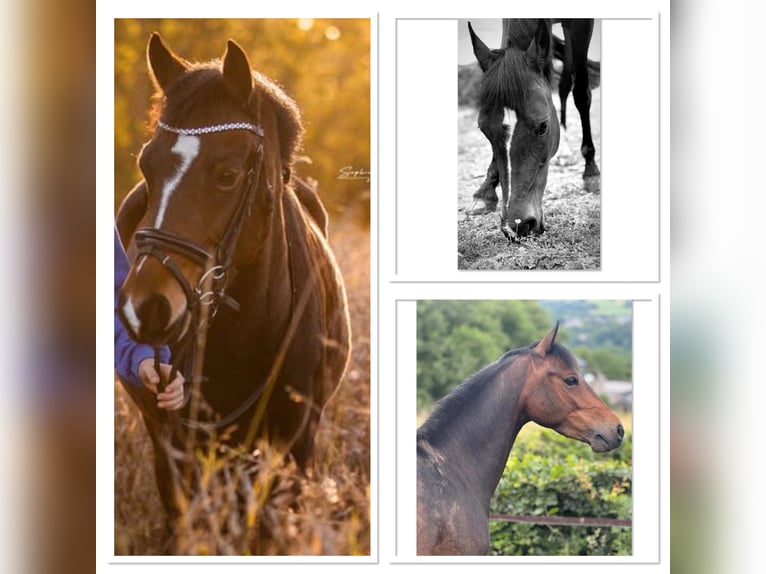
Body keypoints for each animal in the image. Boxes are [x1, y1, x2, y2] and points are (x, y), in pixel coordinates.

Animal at [468, 19, 599, 240]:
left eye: (543, 127)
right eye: (484, 130)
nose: (516, 226)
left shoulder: (580, 24)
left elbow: (581, 94)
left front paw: (591, 171)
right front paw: (486, 190)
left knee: (566, 85)